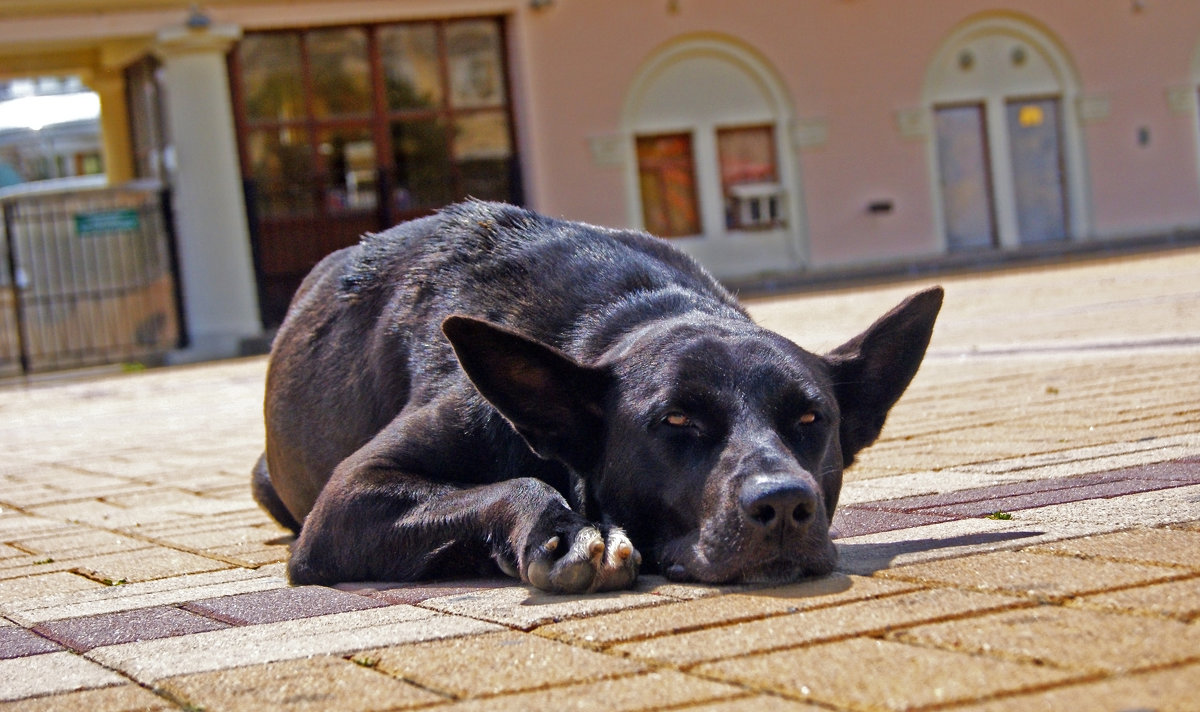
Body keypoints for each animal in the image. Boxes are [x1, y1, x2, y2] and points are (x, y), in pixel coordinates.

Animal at [255, 196, 945, 590]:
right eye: (675, 421)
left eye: (810, 418)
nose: (783, 504)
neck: (626, 311)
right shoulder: (348, 498)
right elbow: (515, 483)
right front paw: (564, 530)